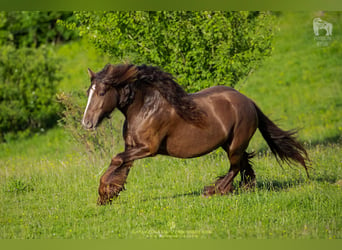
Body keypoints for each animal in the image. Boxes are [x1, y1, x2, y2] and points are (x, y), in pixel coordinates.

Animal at [81, 63, 310, 205]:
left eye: (101, 92)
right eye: (88, 92)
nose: (86, 123)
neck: (145, 107)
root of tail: (248, 101)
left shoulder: (147, 149)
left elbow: (116, 159)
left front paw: (104, 193)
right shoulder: (132, 147)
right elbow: (122, 165)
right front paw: (110, 194)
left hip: (235, 145)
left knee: (236, 166)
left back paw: (215, 190)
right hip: (229, 143)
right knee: (244, 163)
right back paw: (244, 187)